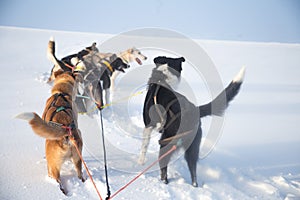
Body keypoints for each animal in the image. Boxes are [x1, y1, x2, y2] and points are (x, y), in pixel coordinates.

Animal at [137, 56, 245, 188]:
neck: (163, 79)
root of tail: (193, 111)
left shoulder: (148, 126)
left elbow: (144, 145)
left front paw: (141, 161)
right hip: (193, 148)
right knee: (193, 173)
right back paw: (194, 185)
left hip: (166, 142)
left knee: (164, 169)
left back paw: (163, 181)